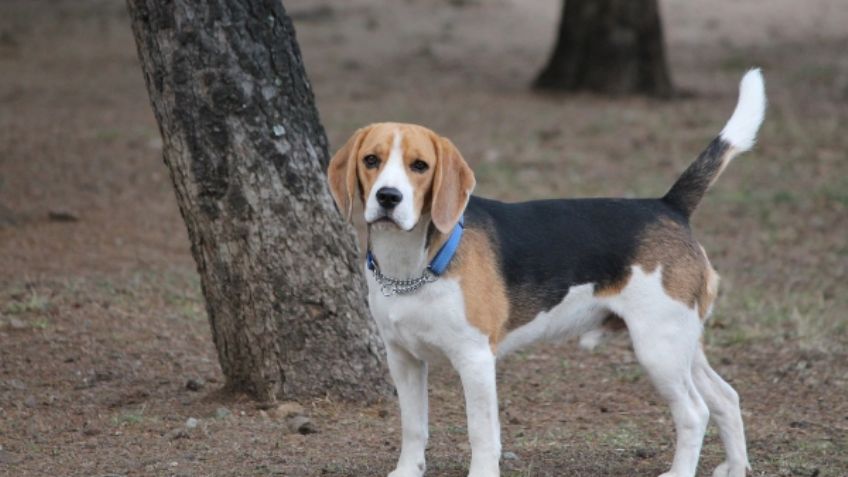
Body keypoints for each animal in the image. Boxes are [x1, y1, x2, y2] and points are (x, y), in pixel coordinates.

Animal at [328, 68, 764, 476]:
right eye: (371, 161)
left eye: (420, 166)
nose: (388, 197)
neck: (411, 265)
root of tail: (668, 205)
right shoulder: (402, 357)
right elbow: (413, 426)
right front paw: (407, 471)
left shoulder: (475, 359)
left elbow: (480, 433)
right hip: (682, 342)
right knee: (727, 398)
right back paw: (737, 467)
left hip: (659, 347)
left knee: (694, 412)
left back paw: (680, 470)